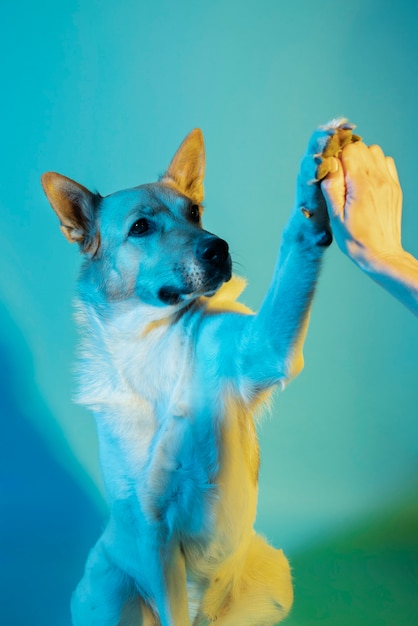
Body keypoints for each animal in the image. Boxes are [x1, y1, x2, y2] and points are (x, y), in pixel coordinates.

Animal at [40, 119, 358, 620]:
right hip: (108, 587)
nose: (218, 248)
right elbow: (172, 608)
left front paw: (317, 174)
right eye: (141, 227)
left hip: (273, 579)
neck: (153, 347)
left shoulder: (266, 346)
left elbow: (295, 252)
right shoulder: (154, 537)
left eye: (194, 212)